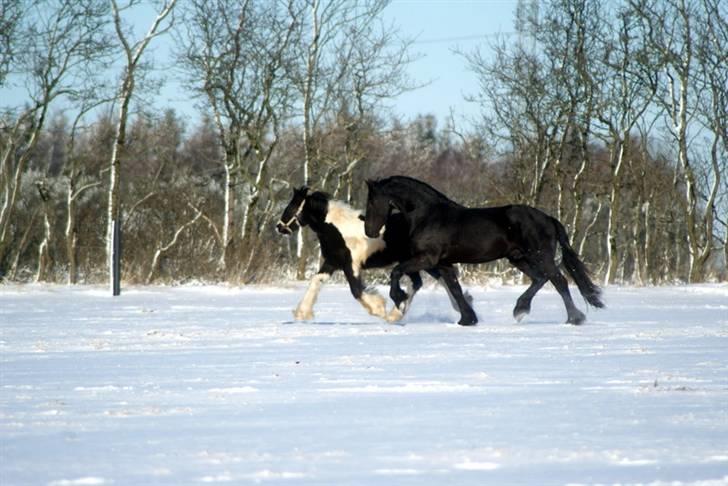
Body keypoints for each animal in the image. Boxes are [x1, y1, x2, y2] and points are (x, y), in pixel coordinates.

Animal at [276, 188, 470, 320]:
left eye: (291, 207)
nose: (279, 227)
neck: (340, 230)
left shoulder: (350, 265)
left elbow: (356, 290)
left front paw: (378, 308)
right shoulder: (332, 262)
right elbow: (316, 280)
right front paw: (302, 312)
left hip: (422, 260)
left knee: (431, 280)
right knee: (430, 280)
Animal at [362, 176, 604, 326]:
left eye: (372, 201)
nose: (369, 231)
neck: (427, 216)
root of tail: (549, 219)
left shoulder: (427, 259)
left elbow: (396, 271)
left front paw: (398, 297)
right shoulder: (443, 263)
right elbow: (455, 289)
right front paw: (467, 319)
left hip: (540, 255)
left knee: (558, 280)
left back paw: (573, 318)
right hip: (518, 258)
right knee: (541, 278)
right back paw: (521, 309)